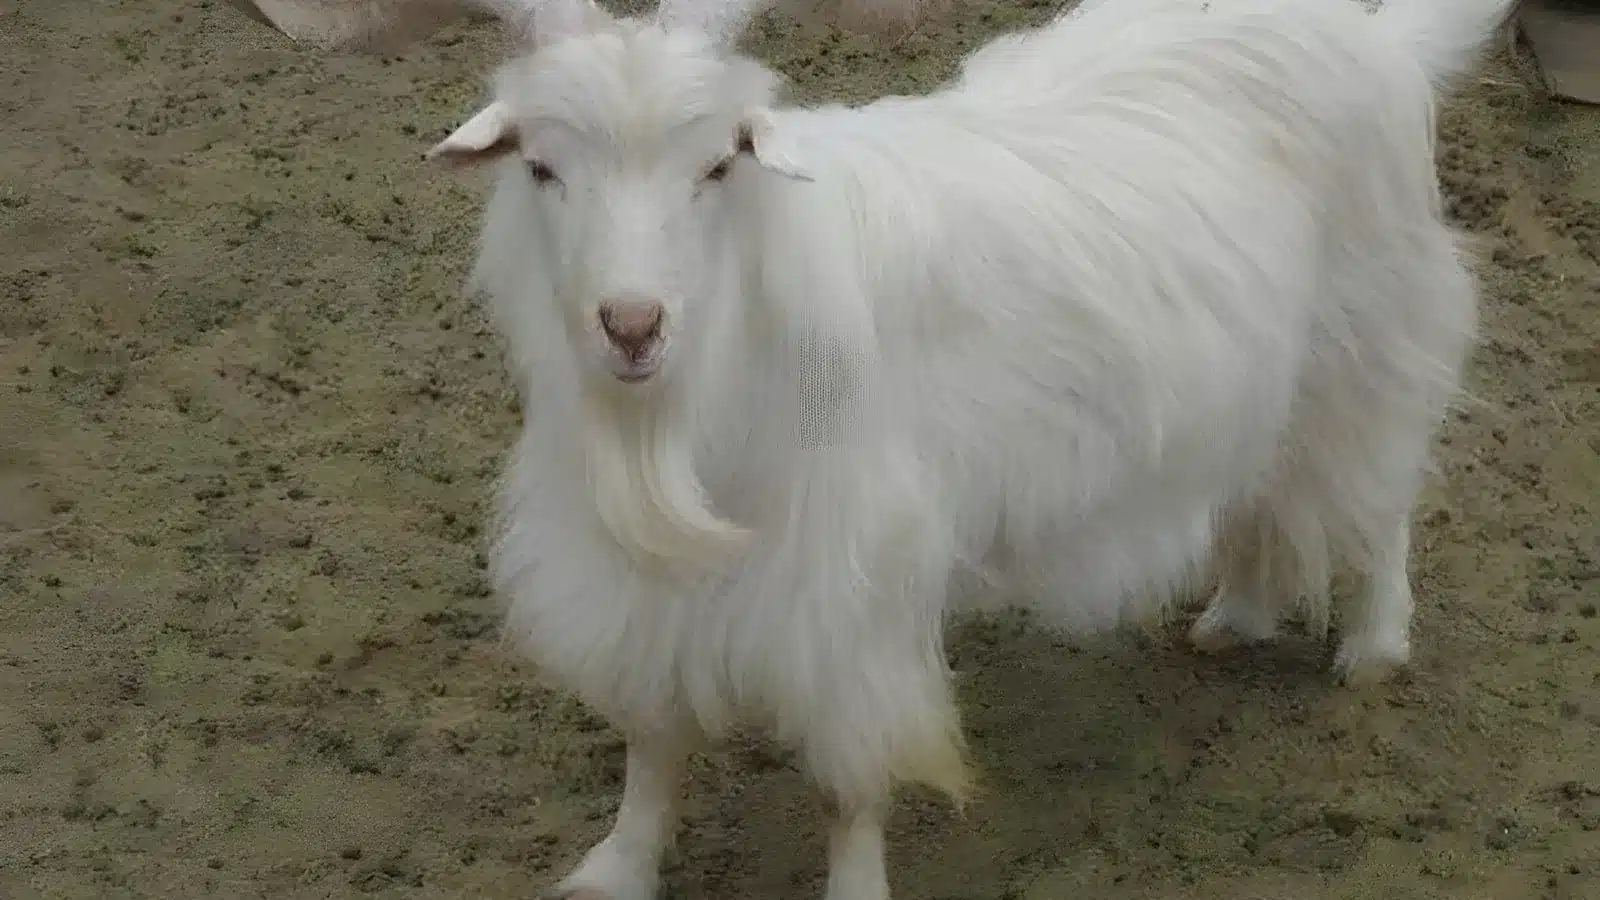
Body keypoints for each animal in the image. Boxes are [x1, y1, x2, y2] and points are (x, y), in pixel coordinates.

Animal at [249, 0, 1513, 895]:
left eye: (719, 163)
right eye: (543, 166)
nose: (632, 324)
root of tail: (1382, 41)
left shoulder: (852, 585)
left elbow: (847, 780)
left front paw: (851, 887)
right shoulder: (640, 579)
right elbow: (653, 737)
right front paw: (614, 870)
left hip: (1370, 334)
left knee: (1382, 493)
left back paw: (1373, 647)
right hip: (1259, 382)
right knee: (1260, 494)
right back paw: (1235, 617)